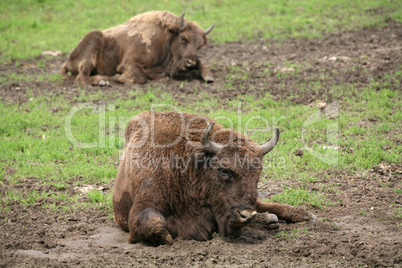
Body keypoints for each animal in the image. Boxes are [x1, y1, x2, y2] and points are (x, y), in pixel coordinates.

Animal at [60, 11, 215, 85]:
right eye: (183, 38)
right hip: (94, 38)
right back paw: (102, 81)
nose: (190, 62)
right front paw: (118, 77)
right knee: (81, 77)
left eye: (200, 45)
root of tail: (67, 60)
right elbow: (141, 76)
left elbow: (202, 62)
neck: (167, 40)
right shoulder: (128, 63)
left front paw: (209, 77)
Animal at [113, 111, 318, 245]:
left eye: (258, 172)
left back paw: (303, 215)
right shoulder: (141, 207)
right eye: (223, 170)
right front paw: (169, 238)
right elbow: (154, 223)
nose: (245, 215)